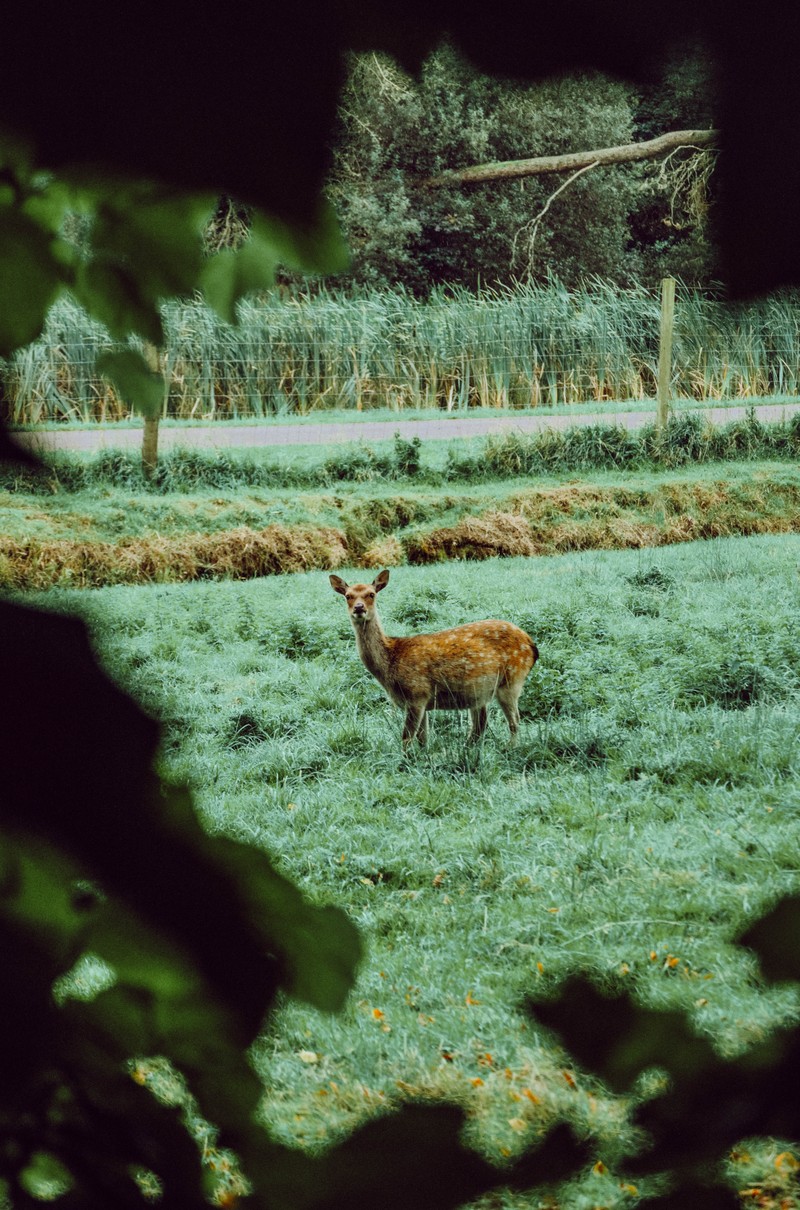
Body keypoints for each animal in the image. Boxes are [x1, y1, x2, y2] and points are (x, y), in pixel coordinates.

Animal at [326, 566, 539, 745]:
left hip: (511, 680)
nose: (359, 608)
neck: (391, 663)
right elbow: (423, 739)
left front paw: (406, 763)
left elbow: (406, 738)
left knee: (514, 721)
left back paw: (511, 748)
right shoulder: (423, 702)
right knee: (480, 726)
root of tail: (531, 645)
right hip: (481, 693)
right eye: (348, 596)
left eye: (371, 594)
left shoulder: (417, 693)